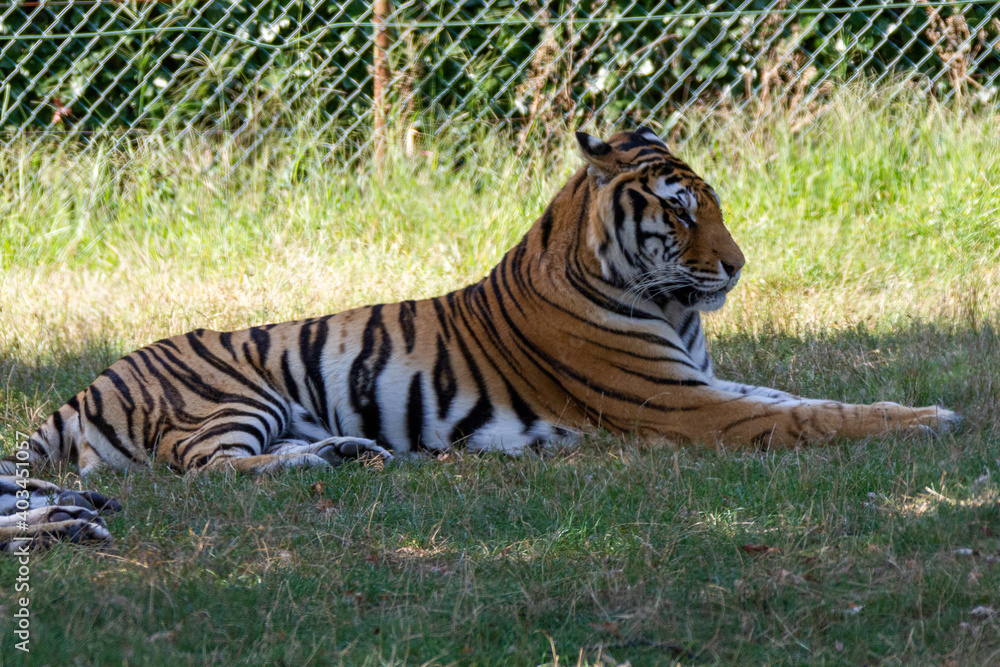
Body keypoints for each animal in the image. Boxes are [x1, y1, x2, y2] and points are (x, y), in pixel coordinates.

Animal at [0, 128, 958, 550]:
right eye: (683, 211)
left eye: (714, 204)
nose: (736, 265)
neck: (668, 305)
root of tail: (86, 386)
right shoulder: (688, 406)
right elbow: (813, 415)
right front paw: (936, 420)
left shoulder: (709, 385)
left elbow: (809, 397)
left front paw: (914, 406)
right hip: (236, 396)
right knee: (205, 468)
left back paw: (352, 454)